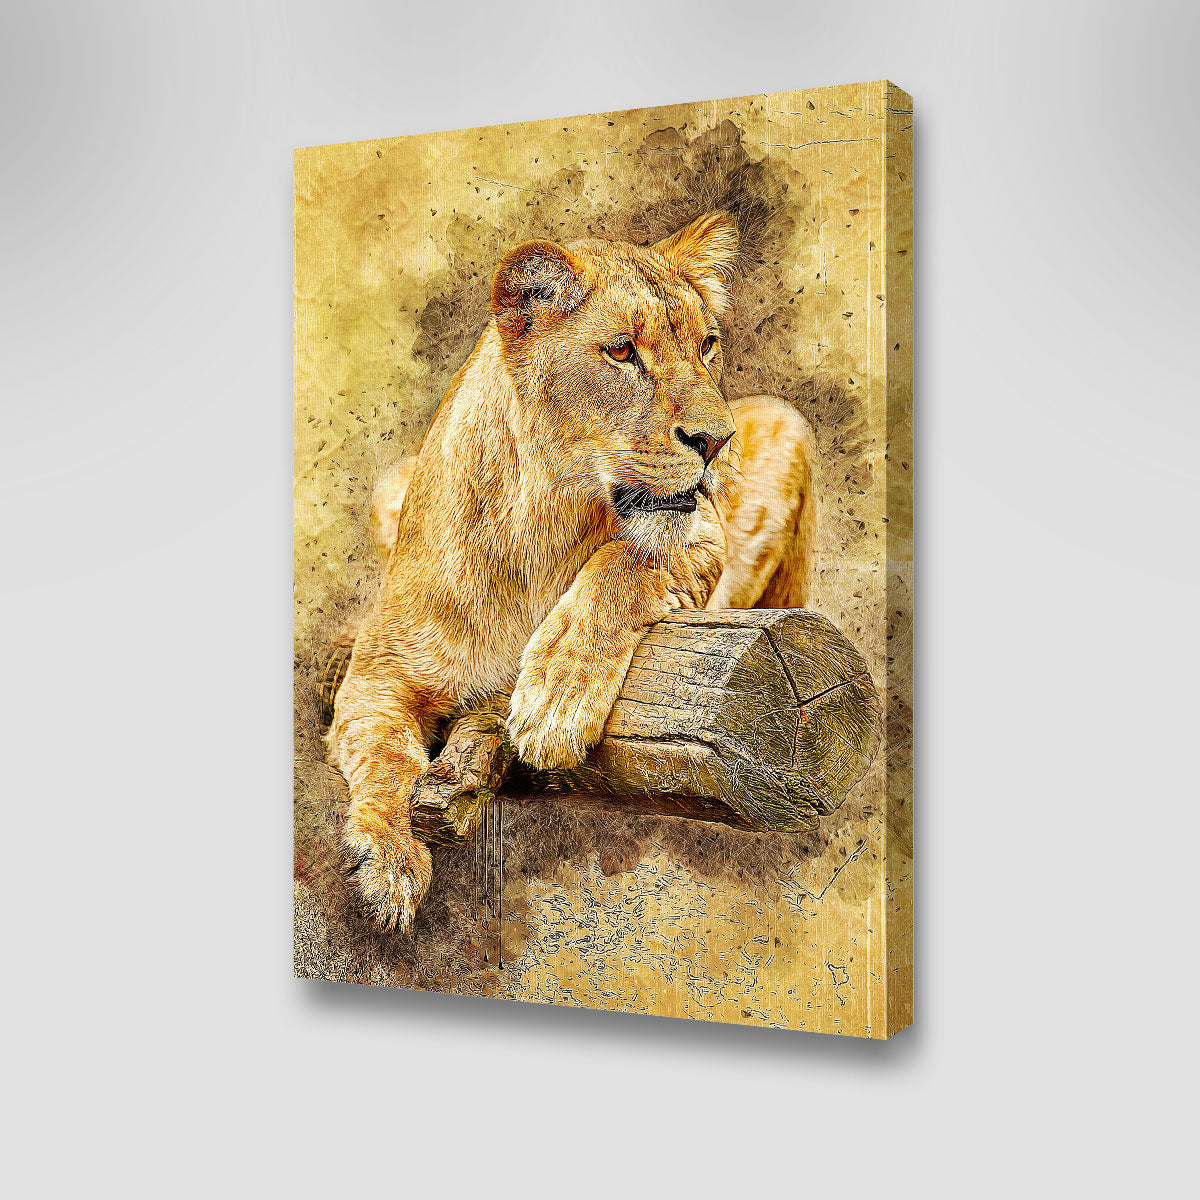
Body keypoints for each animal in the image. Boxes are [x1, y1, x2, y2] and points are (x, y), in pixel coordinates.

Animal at [330, 211, 817, 931]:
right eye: (621, 352)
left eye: (707, 345)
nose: (715, 441)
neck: (541, 520)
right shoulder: (379, 675)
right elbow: (382, 754)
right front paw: (388, 861)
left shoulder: (702, 535)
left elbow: (624, 562)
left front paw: (554, 703)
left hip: (785, 421)